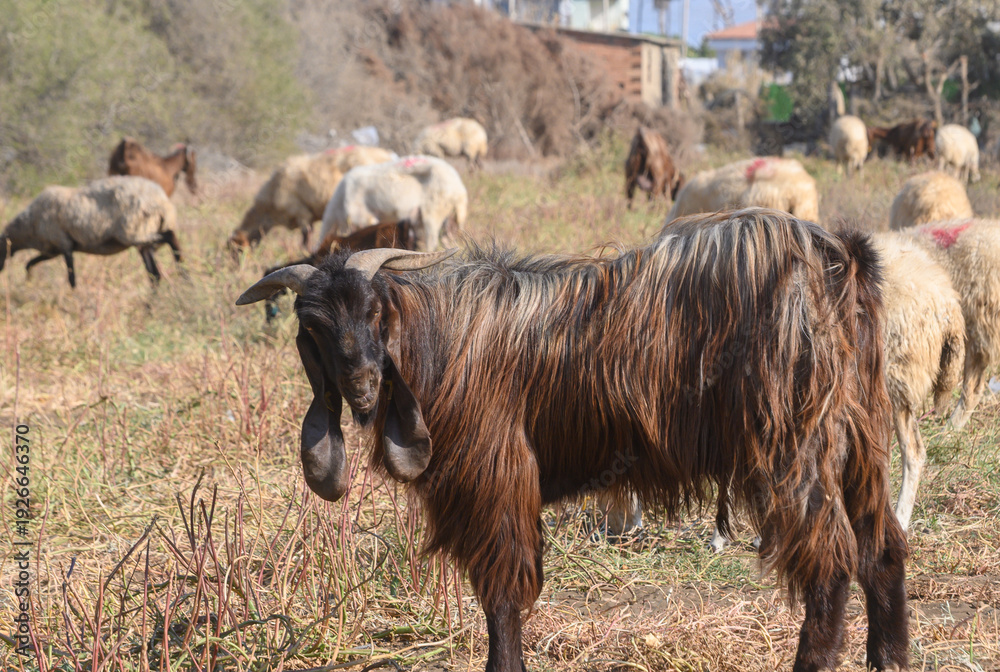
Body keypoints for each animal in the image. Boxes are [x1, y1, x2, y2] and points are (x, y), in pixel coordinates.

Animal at [237, 208, 909, 672]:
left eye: (374, 311)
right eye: (313, 326)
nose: (362, 384)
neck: (438, 339)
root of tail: (838, 256)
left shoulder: (497, 479)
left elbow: (503, 594)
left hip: (793, 445)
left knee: (831, 562)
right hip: (860, 434)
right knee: (880, 547)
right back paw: (890, 658)